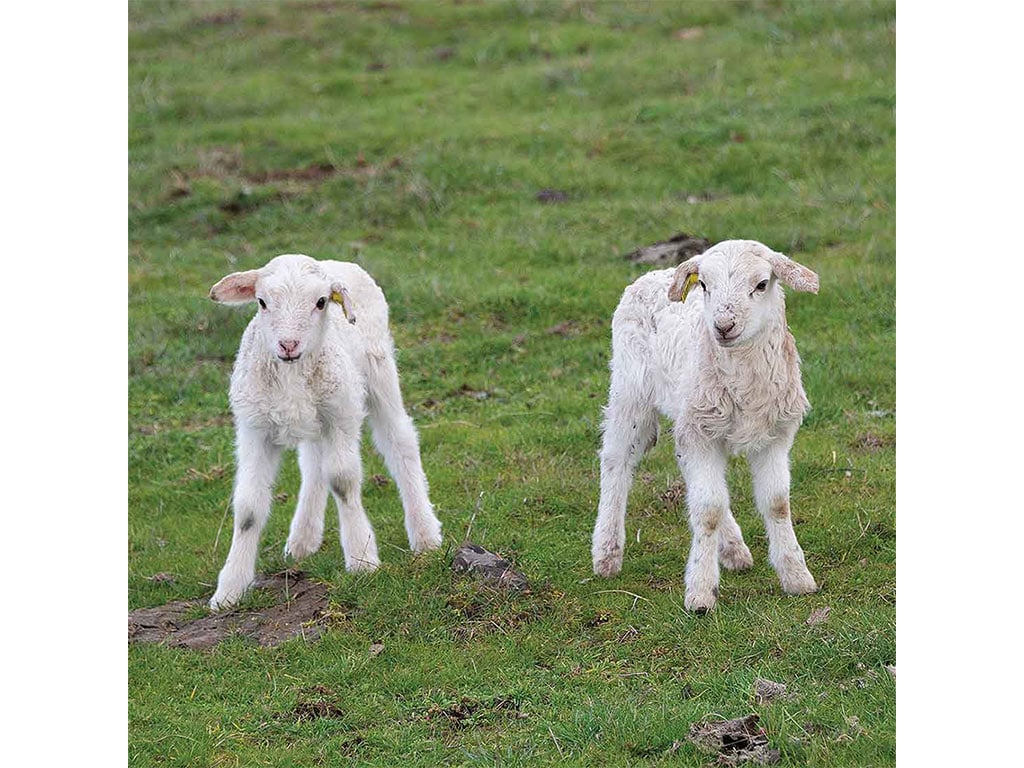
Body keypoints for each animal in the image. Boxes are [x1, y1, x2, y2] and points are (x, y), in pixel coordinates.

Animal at [206, 256, 440, 610]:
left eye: (321, 302)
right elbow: (248, 507)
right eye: (261, 302)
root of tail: (336, 261)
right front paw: (230, 589)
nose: (288, 344)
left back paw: (425, 532)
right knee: (314, 464)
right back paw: (303, 539)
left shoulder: (341, 415)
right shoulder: (254, 427)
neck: (291, 373)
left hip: (378, 371)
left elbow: (343, 481)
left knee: (400, 442)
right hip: (316, 415)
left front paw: (362, 559)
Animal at [593, 240, 815, 614]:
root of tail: (656, 273)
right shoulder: (701, 435)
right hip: (631, 390)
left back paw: (734, 549)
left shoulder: (774, 436)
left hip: (688, 411)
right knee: (615, 460)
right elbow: (708, 510)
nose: (723, 325)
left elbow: (776, 502)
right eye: (705, 286)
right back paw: (607, 552)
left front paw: (797, 576)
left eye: (761, 284)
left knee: (691, 473)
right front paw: (700, 593)